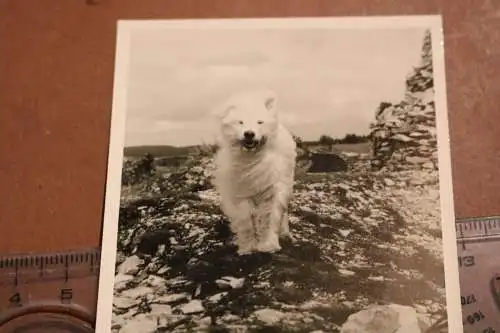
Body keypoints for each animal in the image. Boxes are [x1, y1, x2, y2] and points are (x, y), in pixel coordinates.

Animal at [212, 89, 296, 253]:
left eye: (259, 122)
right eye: (240, 122)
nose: (249, 133)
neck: (252, 160)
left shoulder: (271, 192)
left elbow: (269, 219)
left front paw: (268, 245)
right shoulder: (241, 194)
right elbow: (246, 222)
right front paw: (247, 248)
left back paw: (285, 233)